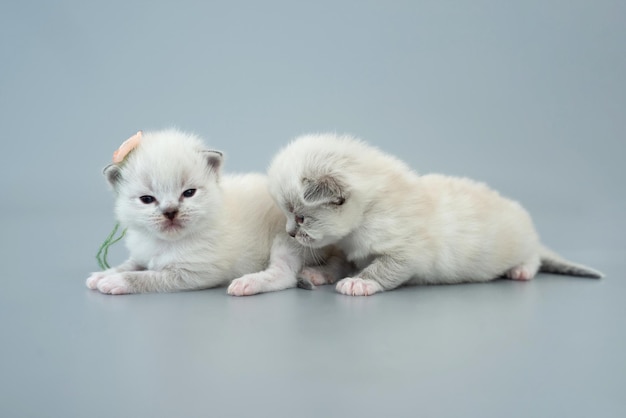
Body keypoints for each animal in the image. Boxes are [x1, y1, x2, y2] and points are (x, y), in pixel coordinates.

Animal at [86, 129, 342, 296]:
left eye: (188, 193)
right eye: (147, 199)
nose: (170, 212)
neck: (167, 242)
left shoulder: (194, 273)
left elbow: (147, 276)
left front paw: (116, 281)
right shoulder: (143, 252)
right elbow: (132, 264)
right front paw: (104, 274)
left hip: (289, 237)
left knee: (284, 275)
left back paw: (247, 284)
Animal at [258, 132, 600, 296]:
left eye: (299, 217)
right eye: (288, 215)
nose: (289, 233)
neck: (366, 215)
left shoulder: (408, 253)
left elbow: (382, 268)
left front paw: (359, 283)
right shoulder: (349, 248)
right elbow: (338, 263)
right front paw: (320, 273)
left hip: (525, 242)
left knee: (534, 258)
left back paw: (521, 271)